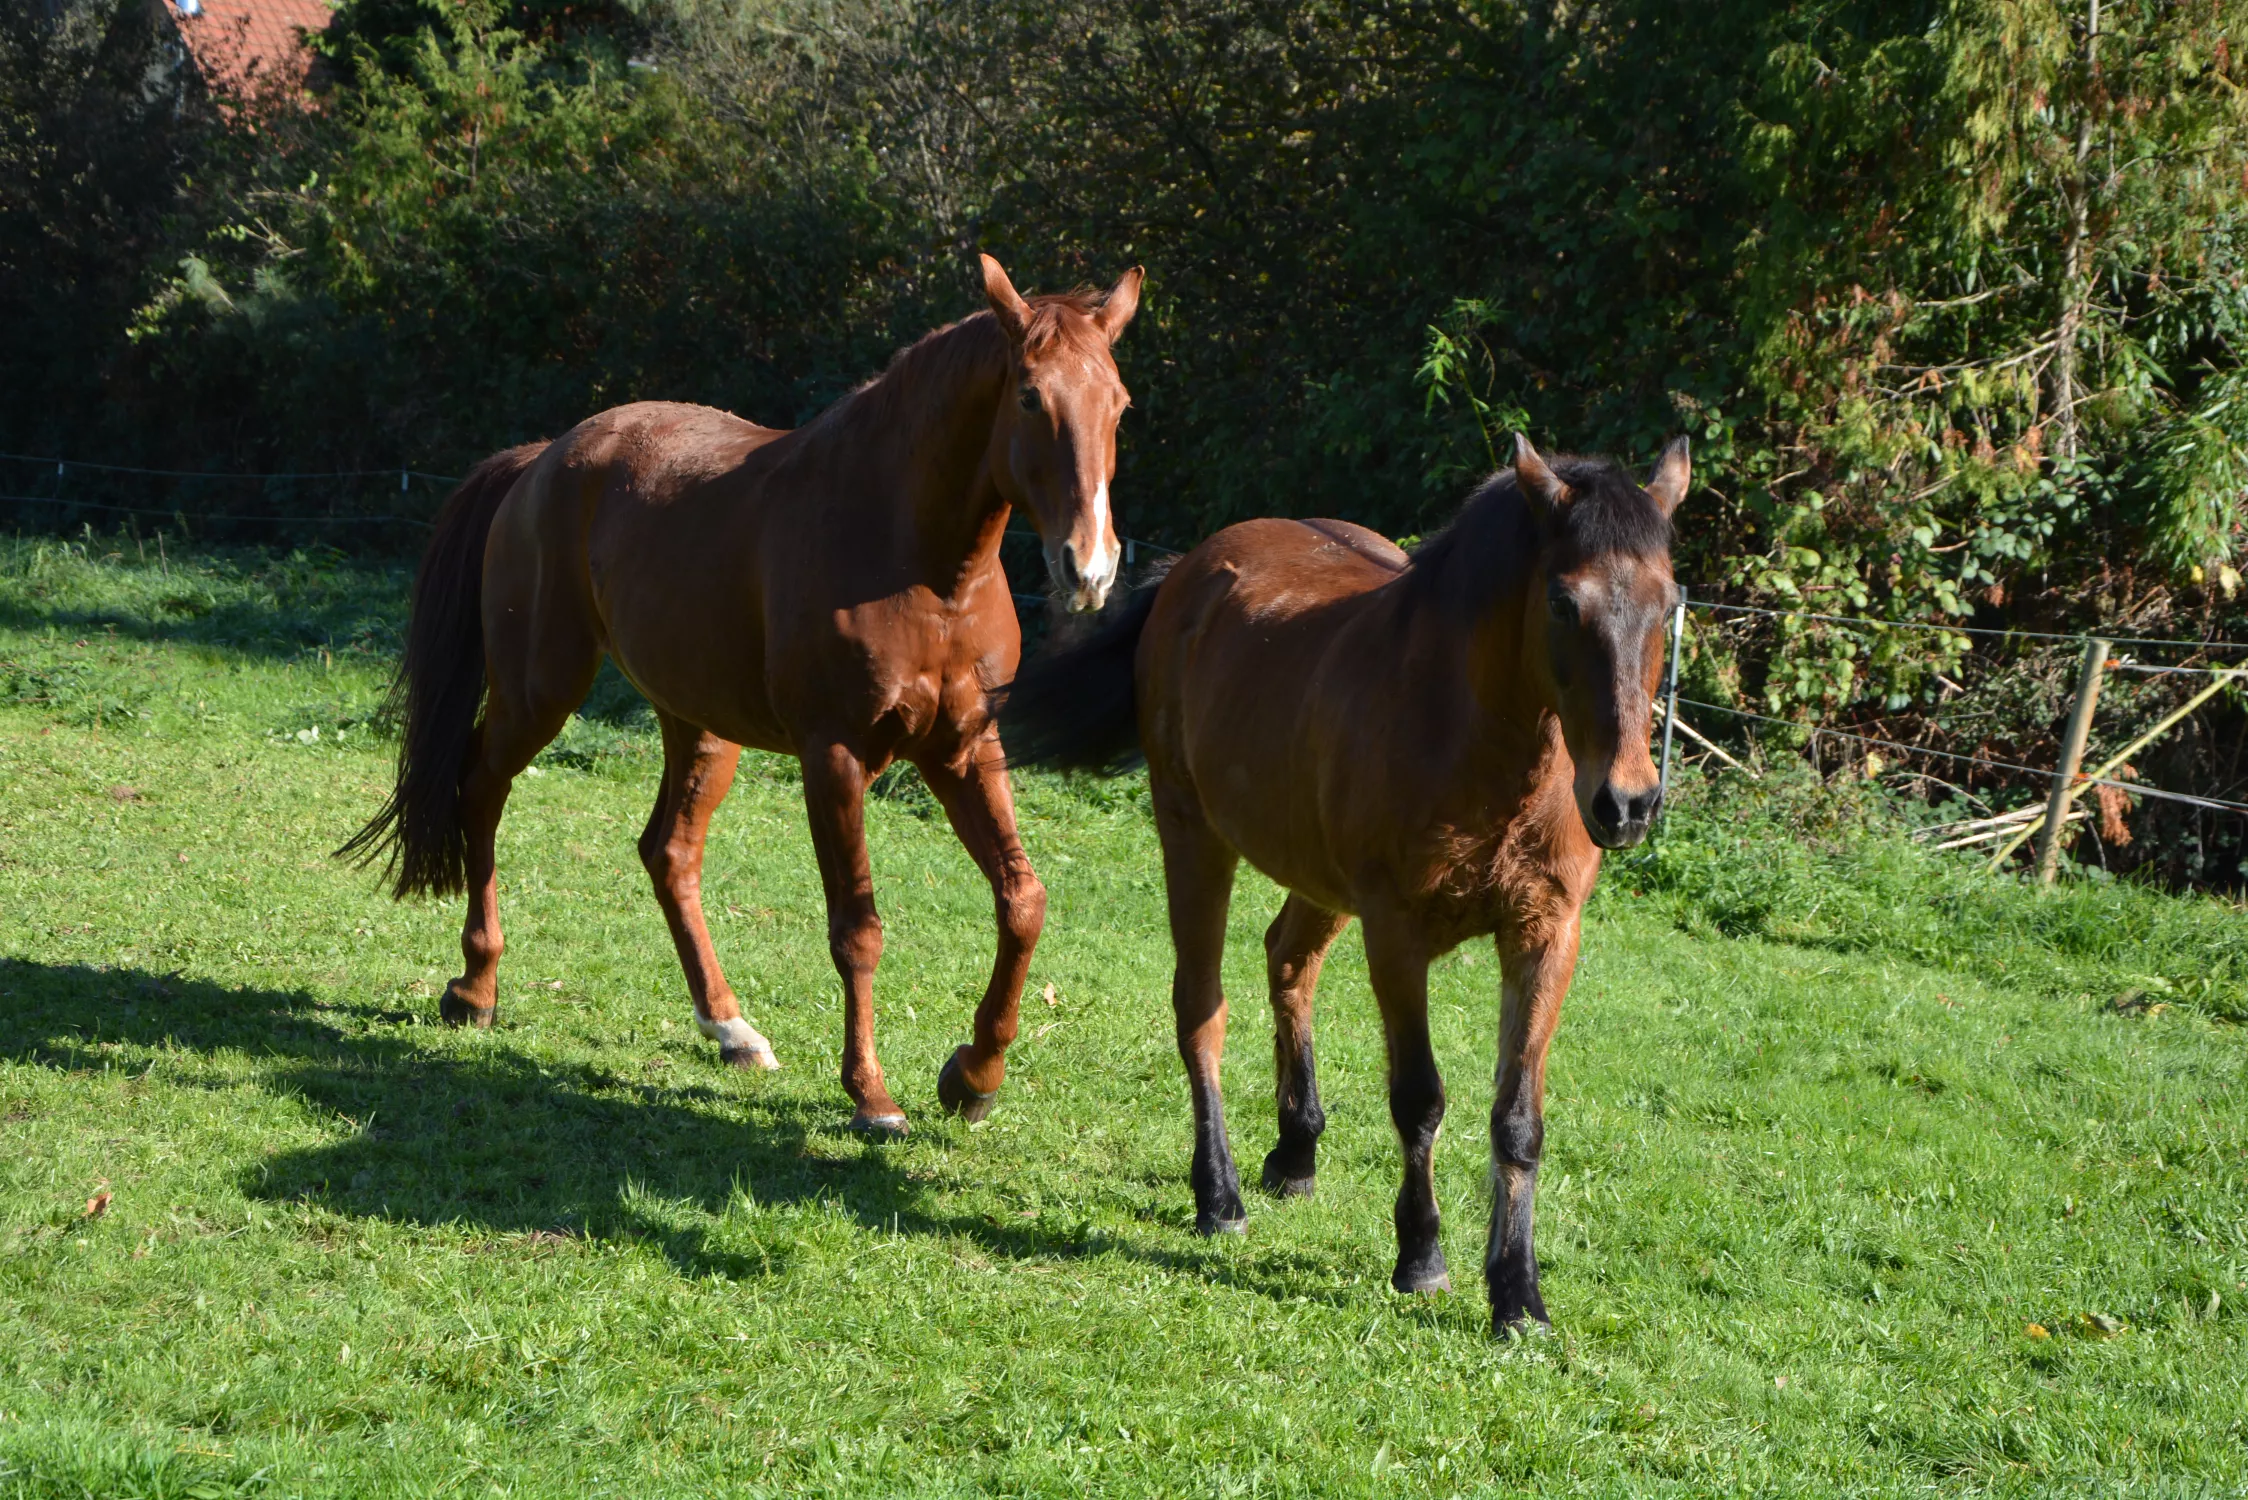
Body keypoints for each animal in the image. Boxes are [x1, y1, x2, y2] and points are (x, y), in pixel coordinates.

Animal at [346, 255, 1141, 1137]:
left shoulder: (965, 750)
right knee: (481, 791)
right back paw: (476, 988)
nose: (1090, 568)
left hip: (699, 725)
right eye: (1031, 397)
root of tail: (543, 459)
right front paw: (872, 1097)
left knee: (669, 853)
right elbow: (858, 930)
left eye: (1119, 406)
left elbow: (1022, 900)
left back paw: (730, 1029)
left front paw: (974, 1075)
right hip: (538, 690)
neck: (919, 566)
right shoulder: (834, 757)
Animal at [1002, 436, 1690, 1340]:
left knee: (1287, 961)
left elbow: (1518, 1120)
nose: (1627, 802)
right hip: (1193, 836)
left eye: (1668, 602)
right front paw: (1423, 1258)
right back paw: (1219, 1194)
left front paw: (1518, 1295)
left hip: (1318, 881)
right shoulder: (1395, 932)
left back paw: (1295, 1152)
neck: (1476, 735)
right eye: (1563, 602)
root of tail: (1192, 570)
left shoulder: (1545, 935)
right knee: (1202, 1007)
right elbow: (1419, 1098)